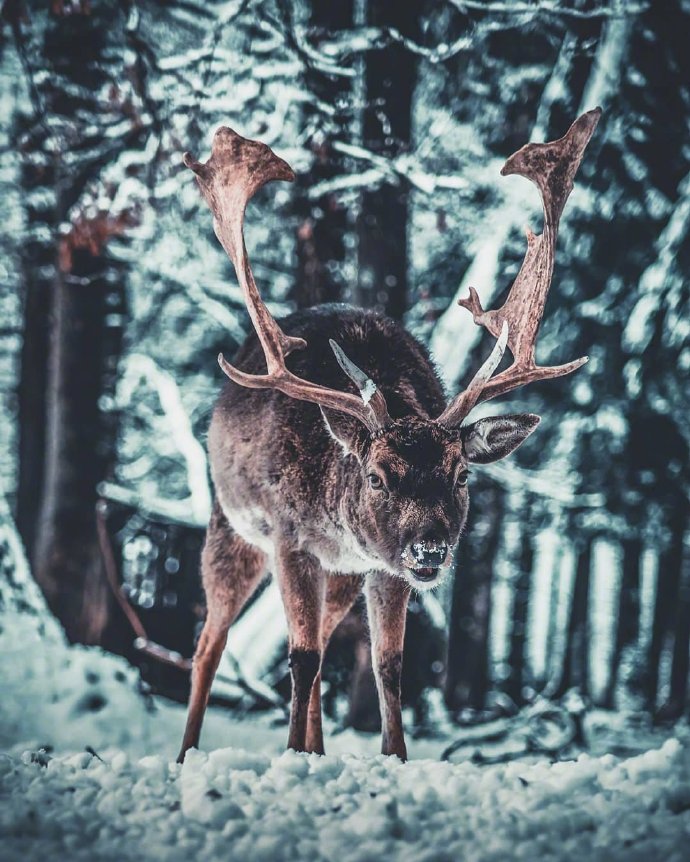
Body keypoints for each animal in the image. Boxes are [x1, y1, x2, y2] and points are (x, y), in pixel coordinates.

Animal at [176, 106, 596, 764]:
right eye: (376, 476)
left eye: (462, 474)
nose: (431, 551)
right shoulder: (290, 539)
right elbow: (299, 658)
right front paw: (290, 757)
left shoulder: (381, 567)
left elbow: (388, 665)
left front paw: (392, 758)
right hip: (231, 527)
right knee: (210, 646)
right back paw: (189, 754)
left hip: (345, 572)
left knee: (323, 645)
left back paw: (317, 752)